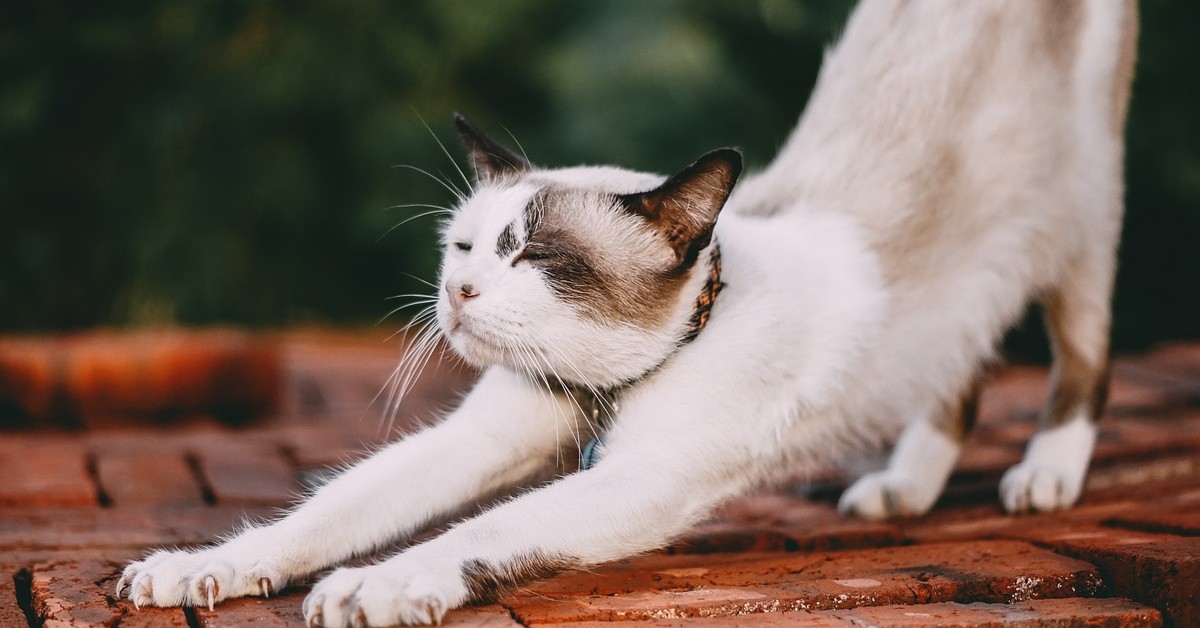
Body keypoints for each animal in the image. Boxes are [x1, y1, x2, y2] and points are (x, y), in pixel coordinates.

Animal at [117, 1, 1137, 624]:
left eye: (535, 256)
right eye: (465, 249)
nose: (457, 294)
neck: (607, 386)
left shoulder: (645, 479)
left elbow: (474, 534)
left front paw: (376, 587)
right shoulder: (483, 439)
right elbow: (319, 517)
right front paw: (190, 570)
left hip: (1076, 227)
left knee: (1082, 360)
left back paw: (1045, 475)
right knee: (960, 367)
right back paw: (904, 489)